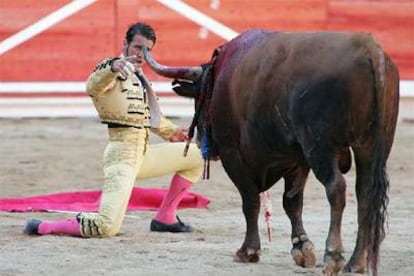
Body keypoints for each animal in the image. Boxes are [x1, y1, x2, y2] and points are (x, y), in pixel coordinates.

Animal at [144, 30, 400, 276]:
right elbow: (292, 202)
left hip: (320, 148)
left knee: (336, 188)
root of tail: (370, 49)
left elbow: (250, 200)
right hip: (370, 147)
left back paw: (334, 257)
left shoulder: (232, 154)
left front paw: (248, 250)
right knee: (364, 194)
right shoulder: (296, 161)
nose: (200, 142)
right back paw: (356, 263)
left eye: (200, 96)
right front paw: (301, 247)